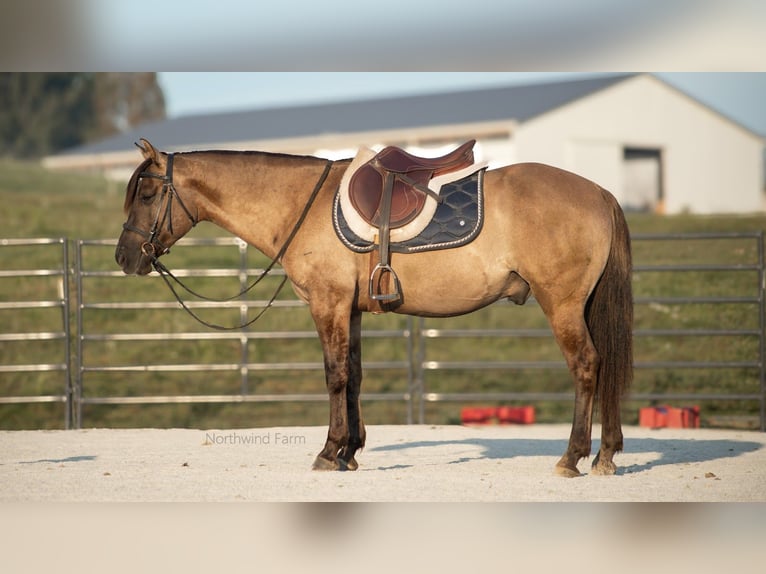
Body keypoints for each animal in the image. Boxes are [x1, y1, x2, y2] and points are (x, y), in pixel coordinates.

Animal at [117, 138, 632, 476]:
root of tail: (600, 192)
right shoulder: (351, 309)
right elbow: (355, 375)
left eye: (147, 193)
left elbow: (335, 375)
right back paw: (606, 455)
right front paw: (350, 452)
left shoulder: (327, 304)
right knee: (605, 365)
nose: (124, 257)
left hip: (562, 304)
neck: (300, 205)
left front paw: (329, 452)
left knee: (587, 366)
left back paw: (572, 457)